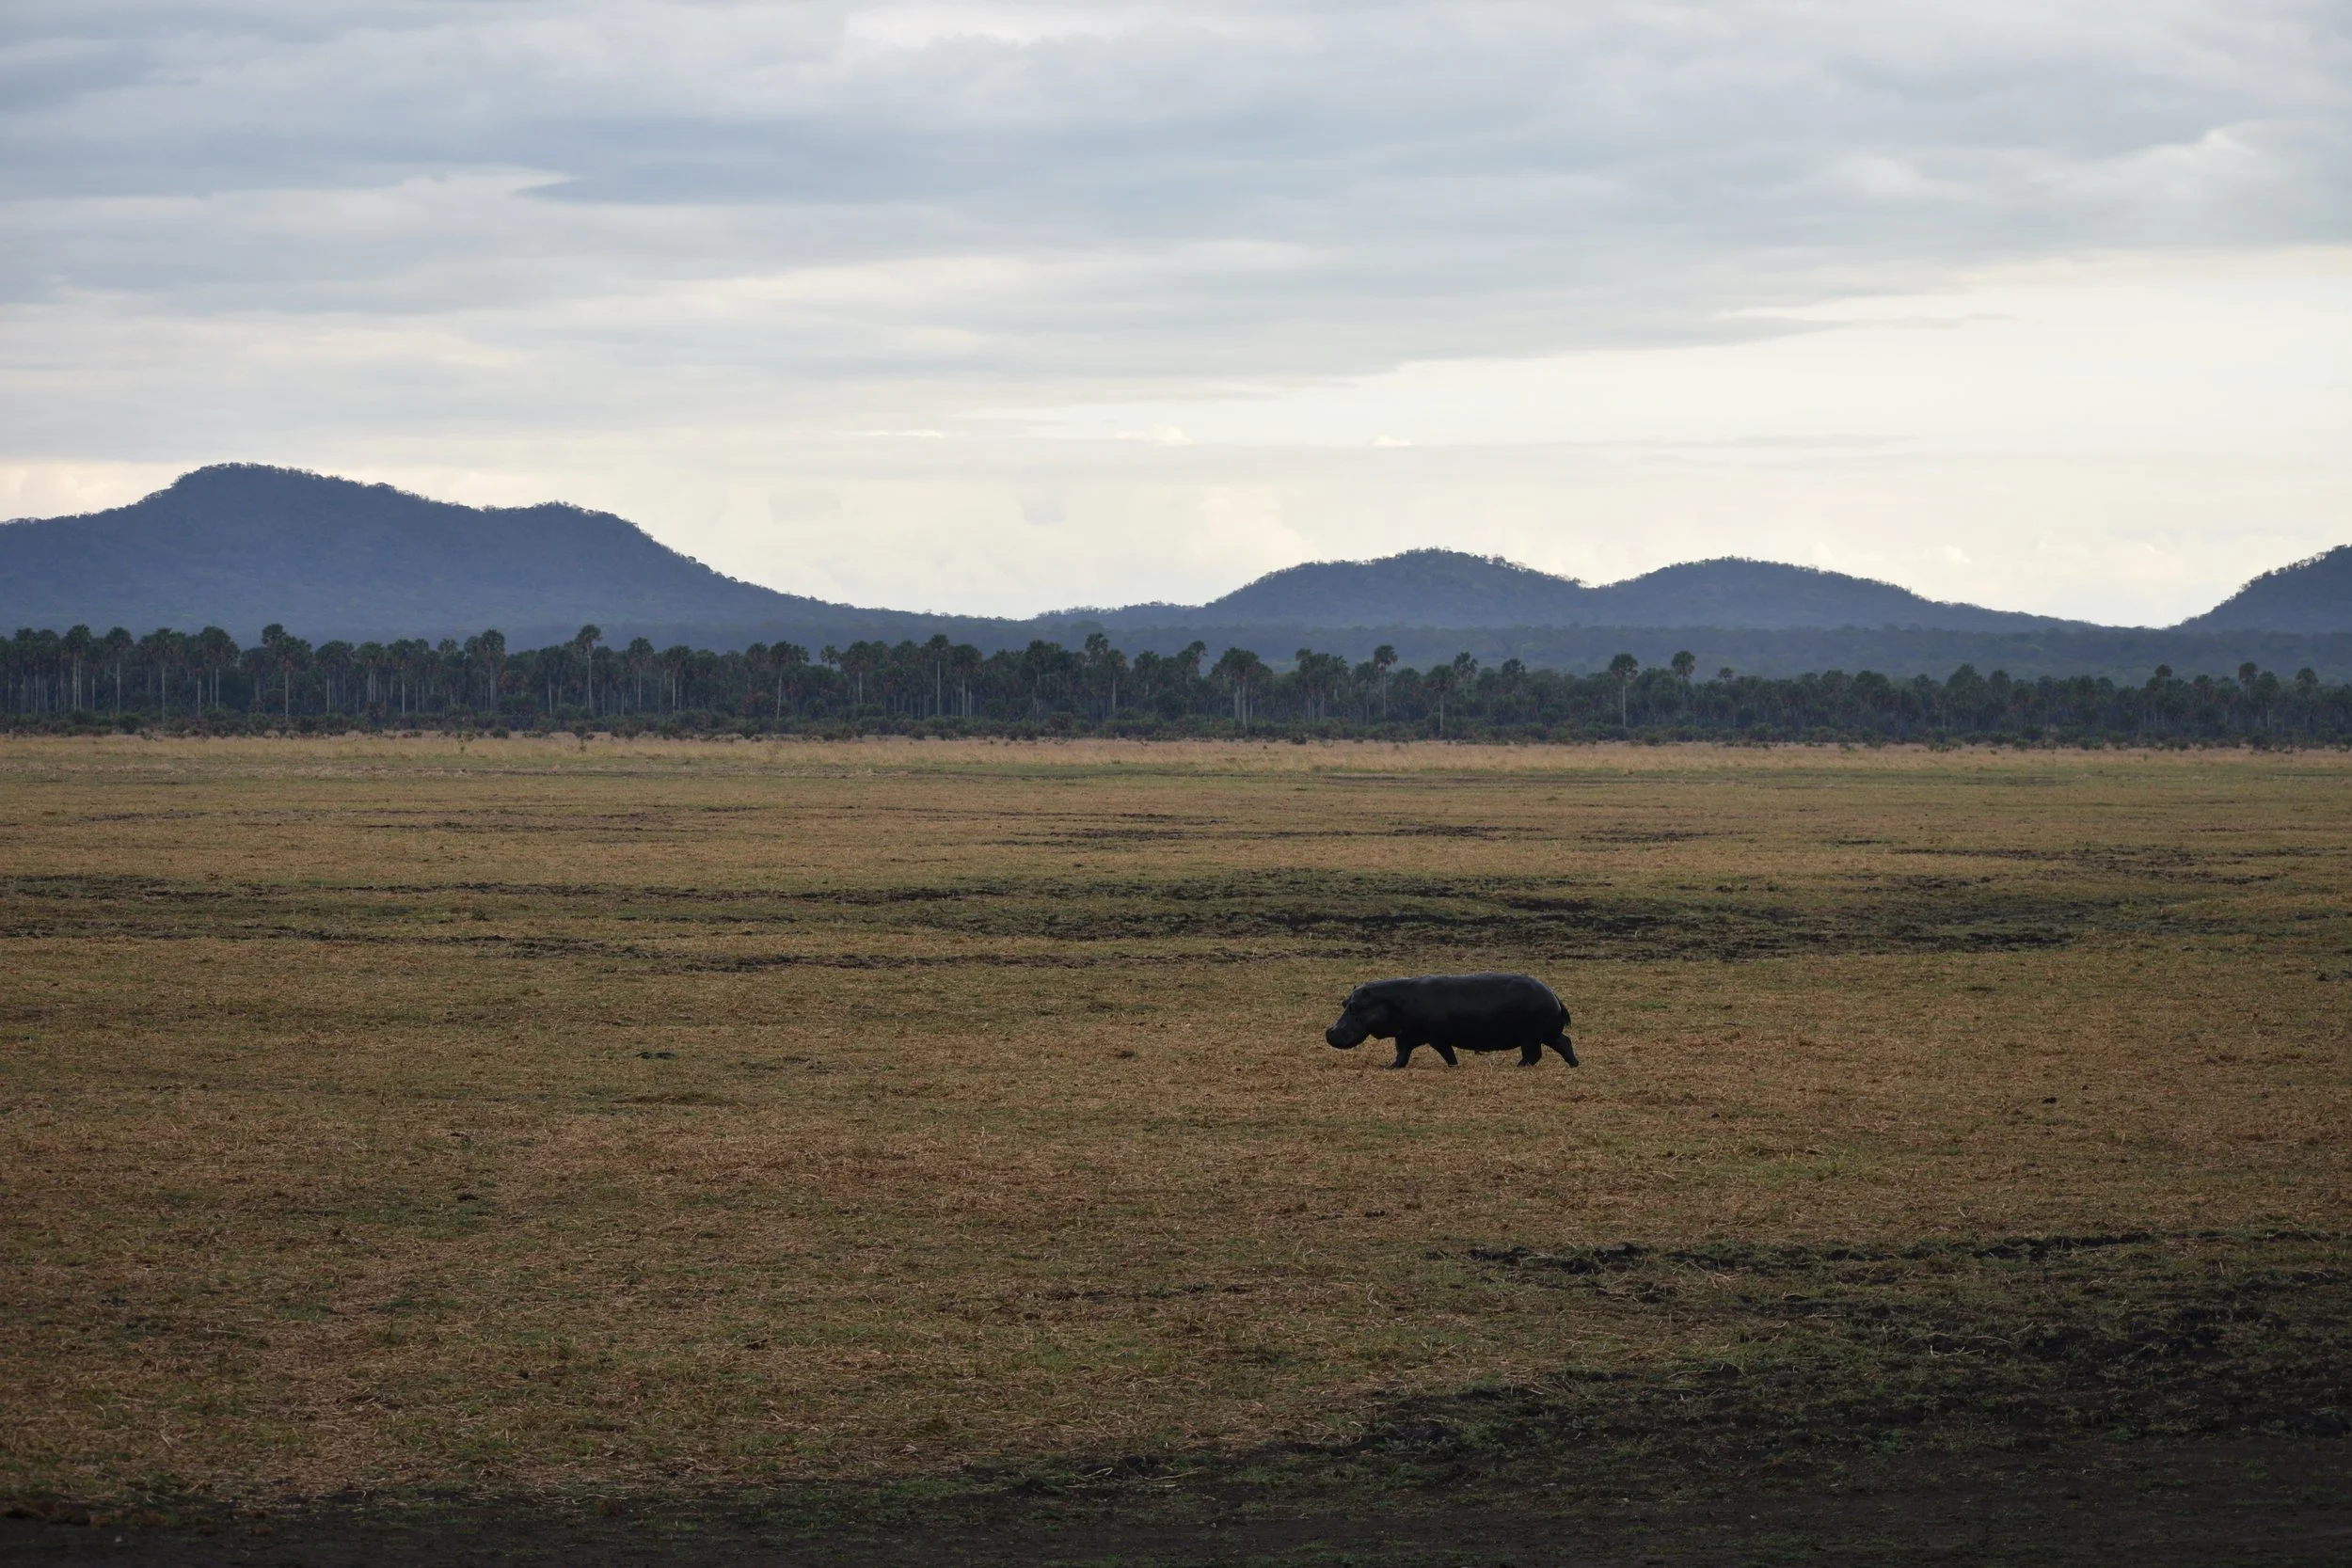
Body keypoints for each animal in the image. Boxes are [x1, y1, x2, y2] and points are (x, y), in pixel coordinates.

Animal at [1325, 972, 1576, 1069]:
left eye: (1355, 1007)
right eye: (1344, 1002)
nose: (1329, 1031)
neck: (1389, 1001)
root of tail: (1554, 996)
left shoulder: (1436, 1037)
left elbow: (1446, 1052)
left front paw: (1454, 1065)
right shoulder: (1405, 1035)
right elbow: (1402, 1054)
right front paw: (1390, 1067)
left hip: (1532, 1036)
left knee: (1535, 1054)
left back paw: (1519, 1066)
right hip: (1543, 1035)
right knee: (1564, 1042)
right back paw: (1573, 1064)